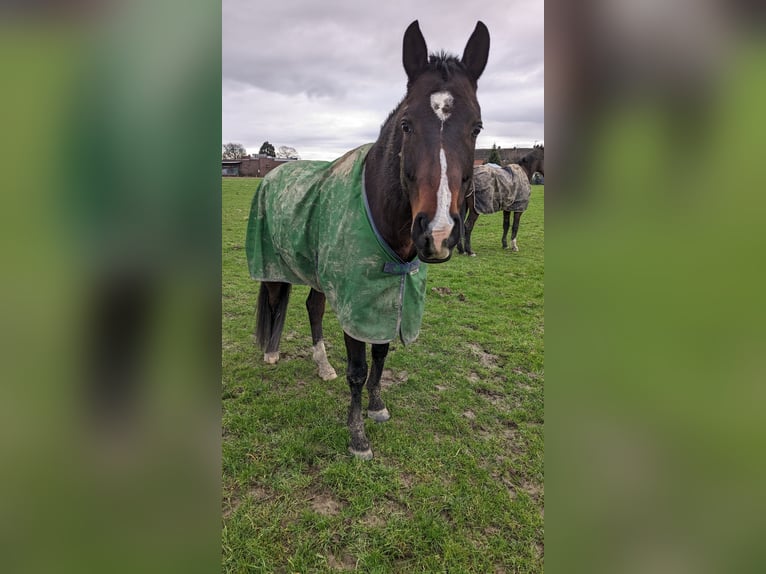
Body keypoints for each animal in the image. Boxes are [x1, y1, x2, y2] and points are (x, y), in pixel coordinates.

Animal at [246, 20, 492, 462]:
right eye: (407, 124)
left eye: (476, 127)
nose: (438, 234)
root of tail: (272, 174)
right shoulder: (357, 301)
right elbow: (358, 370)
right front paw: (357, 437)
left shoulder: (387, 298)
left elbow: (381, 353)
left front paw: (377, 406)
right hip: (272, 263)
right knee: (275, 299)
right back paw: (271, 353)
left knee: (312, 308)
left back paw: (322, 365)